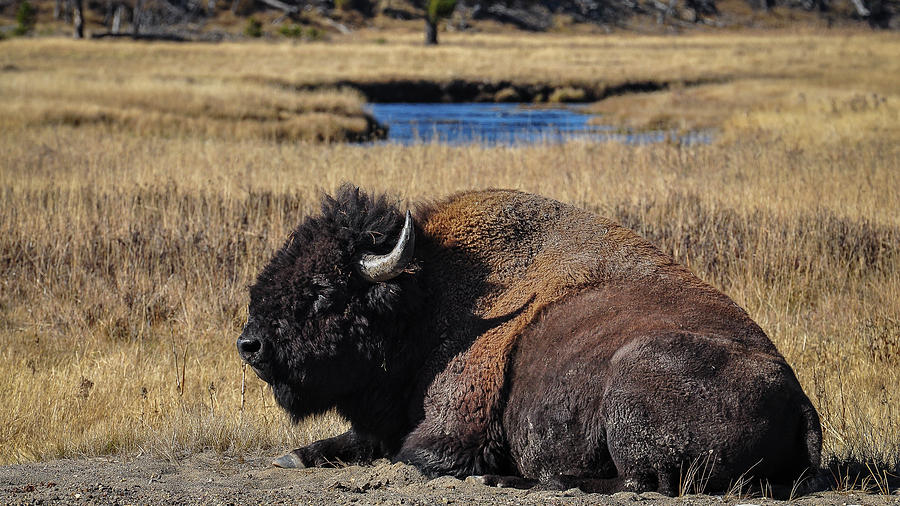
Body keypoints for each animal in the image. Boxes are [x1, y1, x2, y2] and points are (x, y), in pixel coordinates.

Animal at [239, 185, 824, 494]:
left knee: (636, 482)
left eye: (322, 292)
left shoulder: (450, 434)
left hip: (632, 385)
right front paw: (292, 458)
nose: (250, 346)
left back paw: (530, 480)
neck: (424, 298)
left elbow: (413, 456)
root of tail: (800, 403)